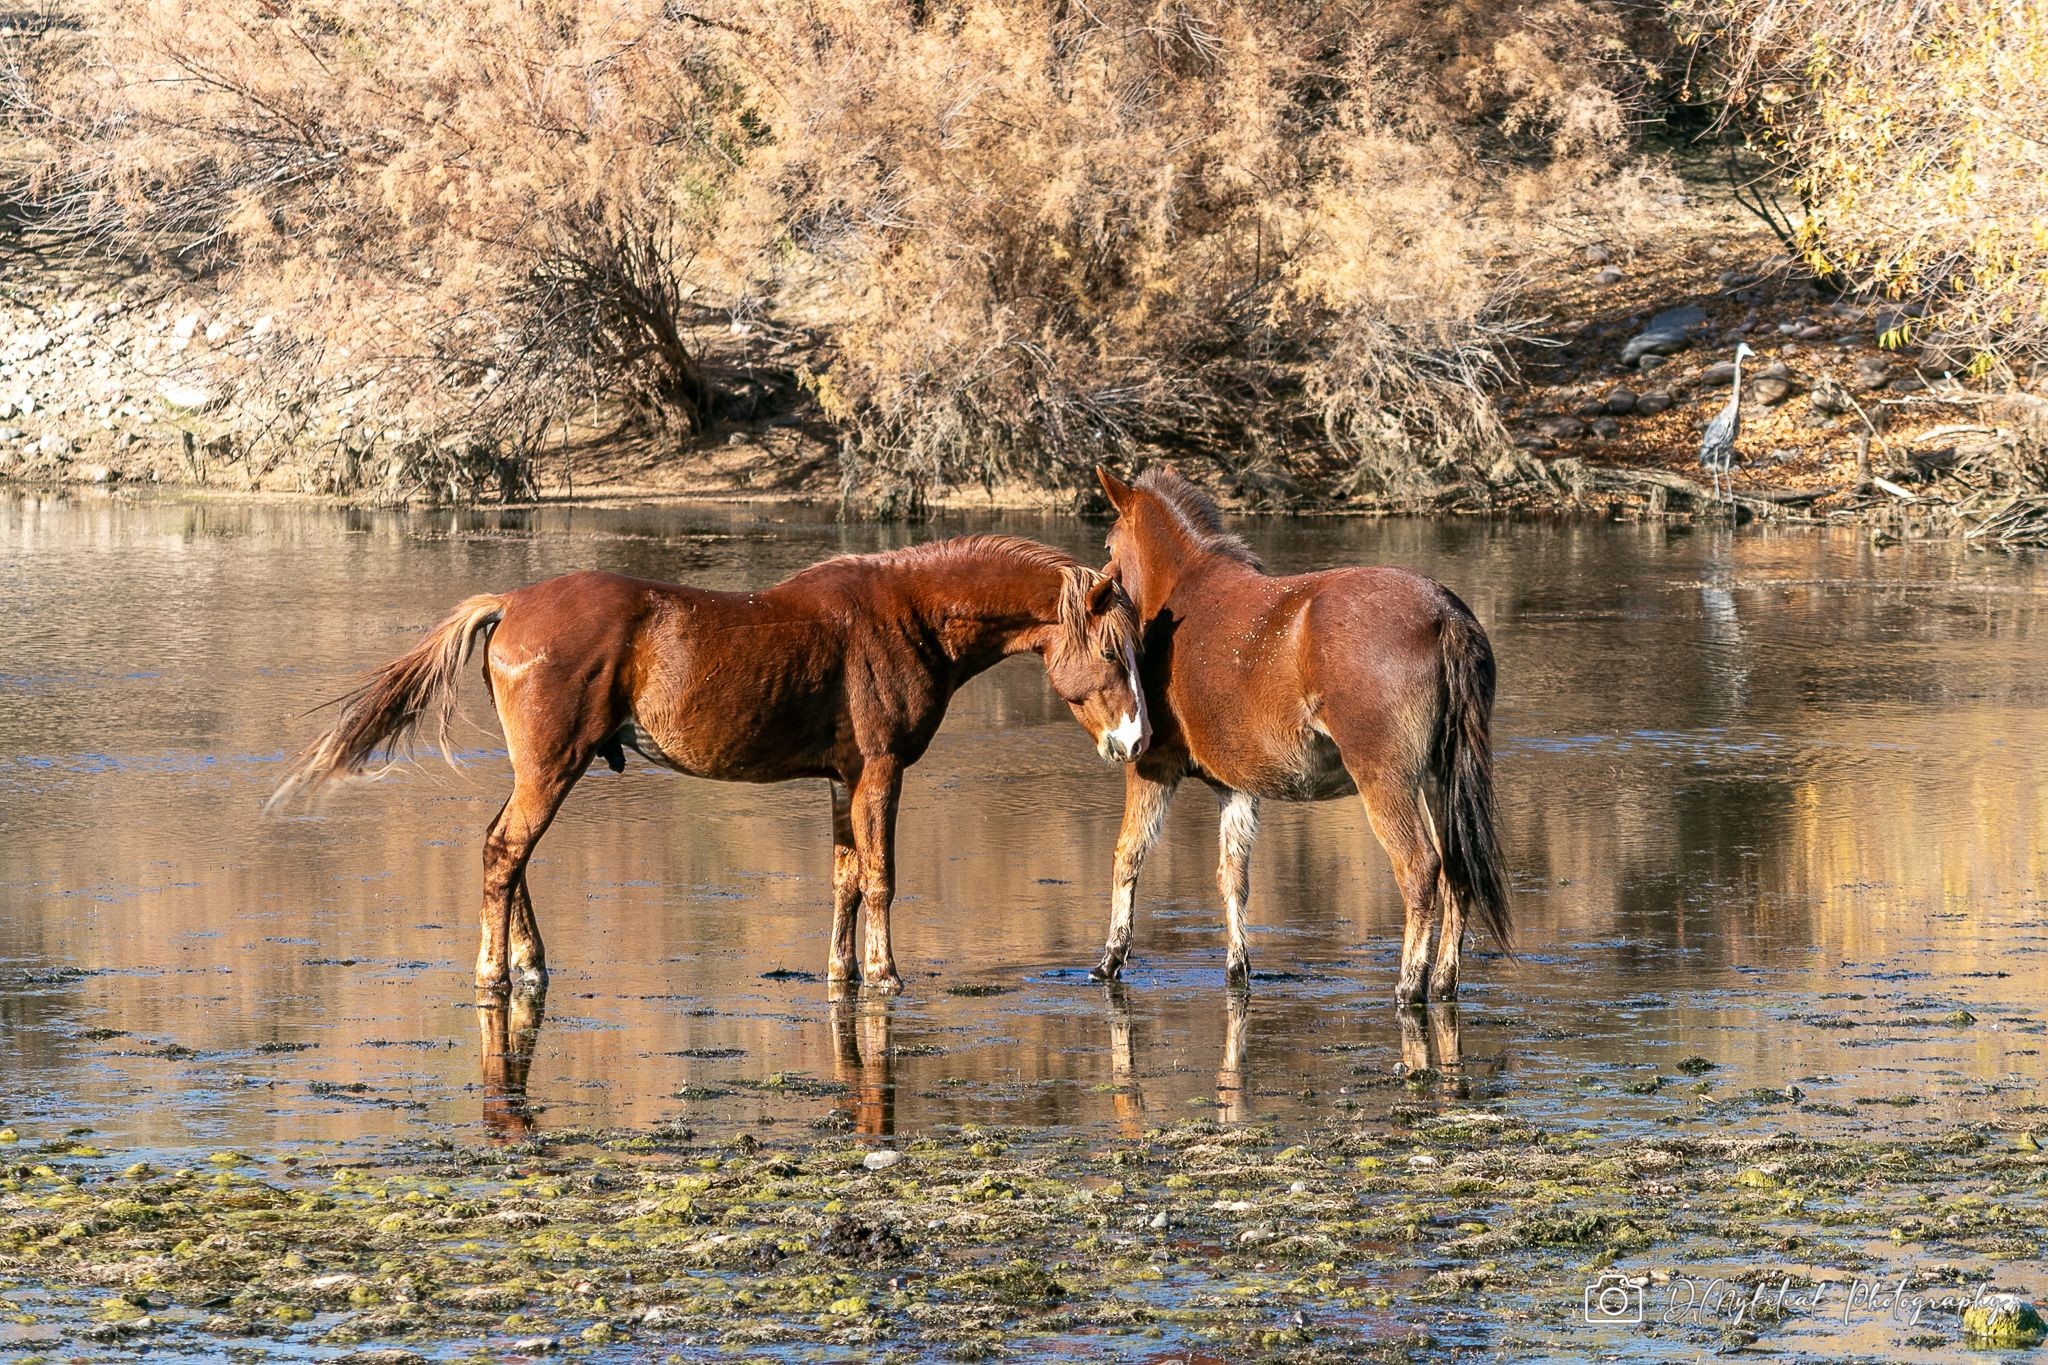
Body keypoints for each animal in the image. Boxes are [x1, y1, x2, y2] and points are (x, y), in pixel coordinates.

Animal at [264, 540, 1146, 998]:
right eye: (1111, 651)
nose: (1136, 741)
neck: (905, 615)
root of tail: (511, 602)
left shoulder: (843, 776)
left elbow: (844, 877)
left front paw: (841, 969)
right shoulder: (882, 771)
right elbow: (882, 876)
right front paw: (887, 975)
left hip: (548, 769)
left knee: (508, 855)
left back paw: (530, 961)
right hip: (552, 767)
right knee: (503, 851)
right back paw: (496, 973)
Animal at [1097, 470, 1515, 1002]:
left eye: (1109, 543)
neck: (1184, 591)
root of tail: (1446, 614)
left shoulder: (1153, 764)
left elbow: (1128, 854)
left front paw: (1111, 958)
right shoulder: (1236, 786)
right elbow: (1233, 876)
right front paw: (1237, 967)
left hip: (1387, 781)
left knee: (1420, 869)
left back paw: (1409, 985)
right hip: (1441, 778)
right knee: (1457, 870)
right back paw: (1442, 982)